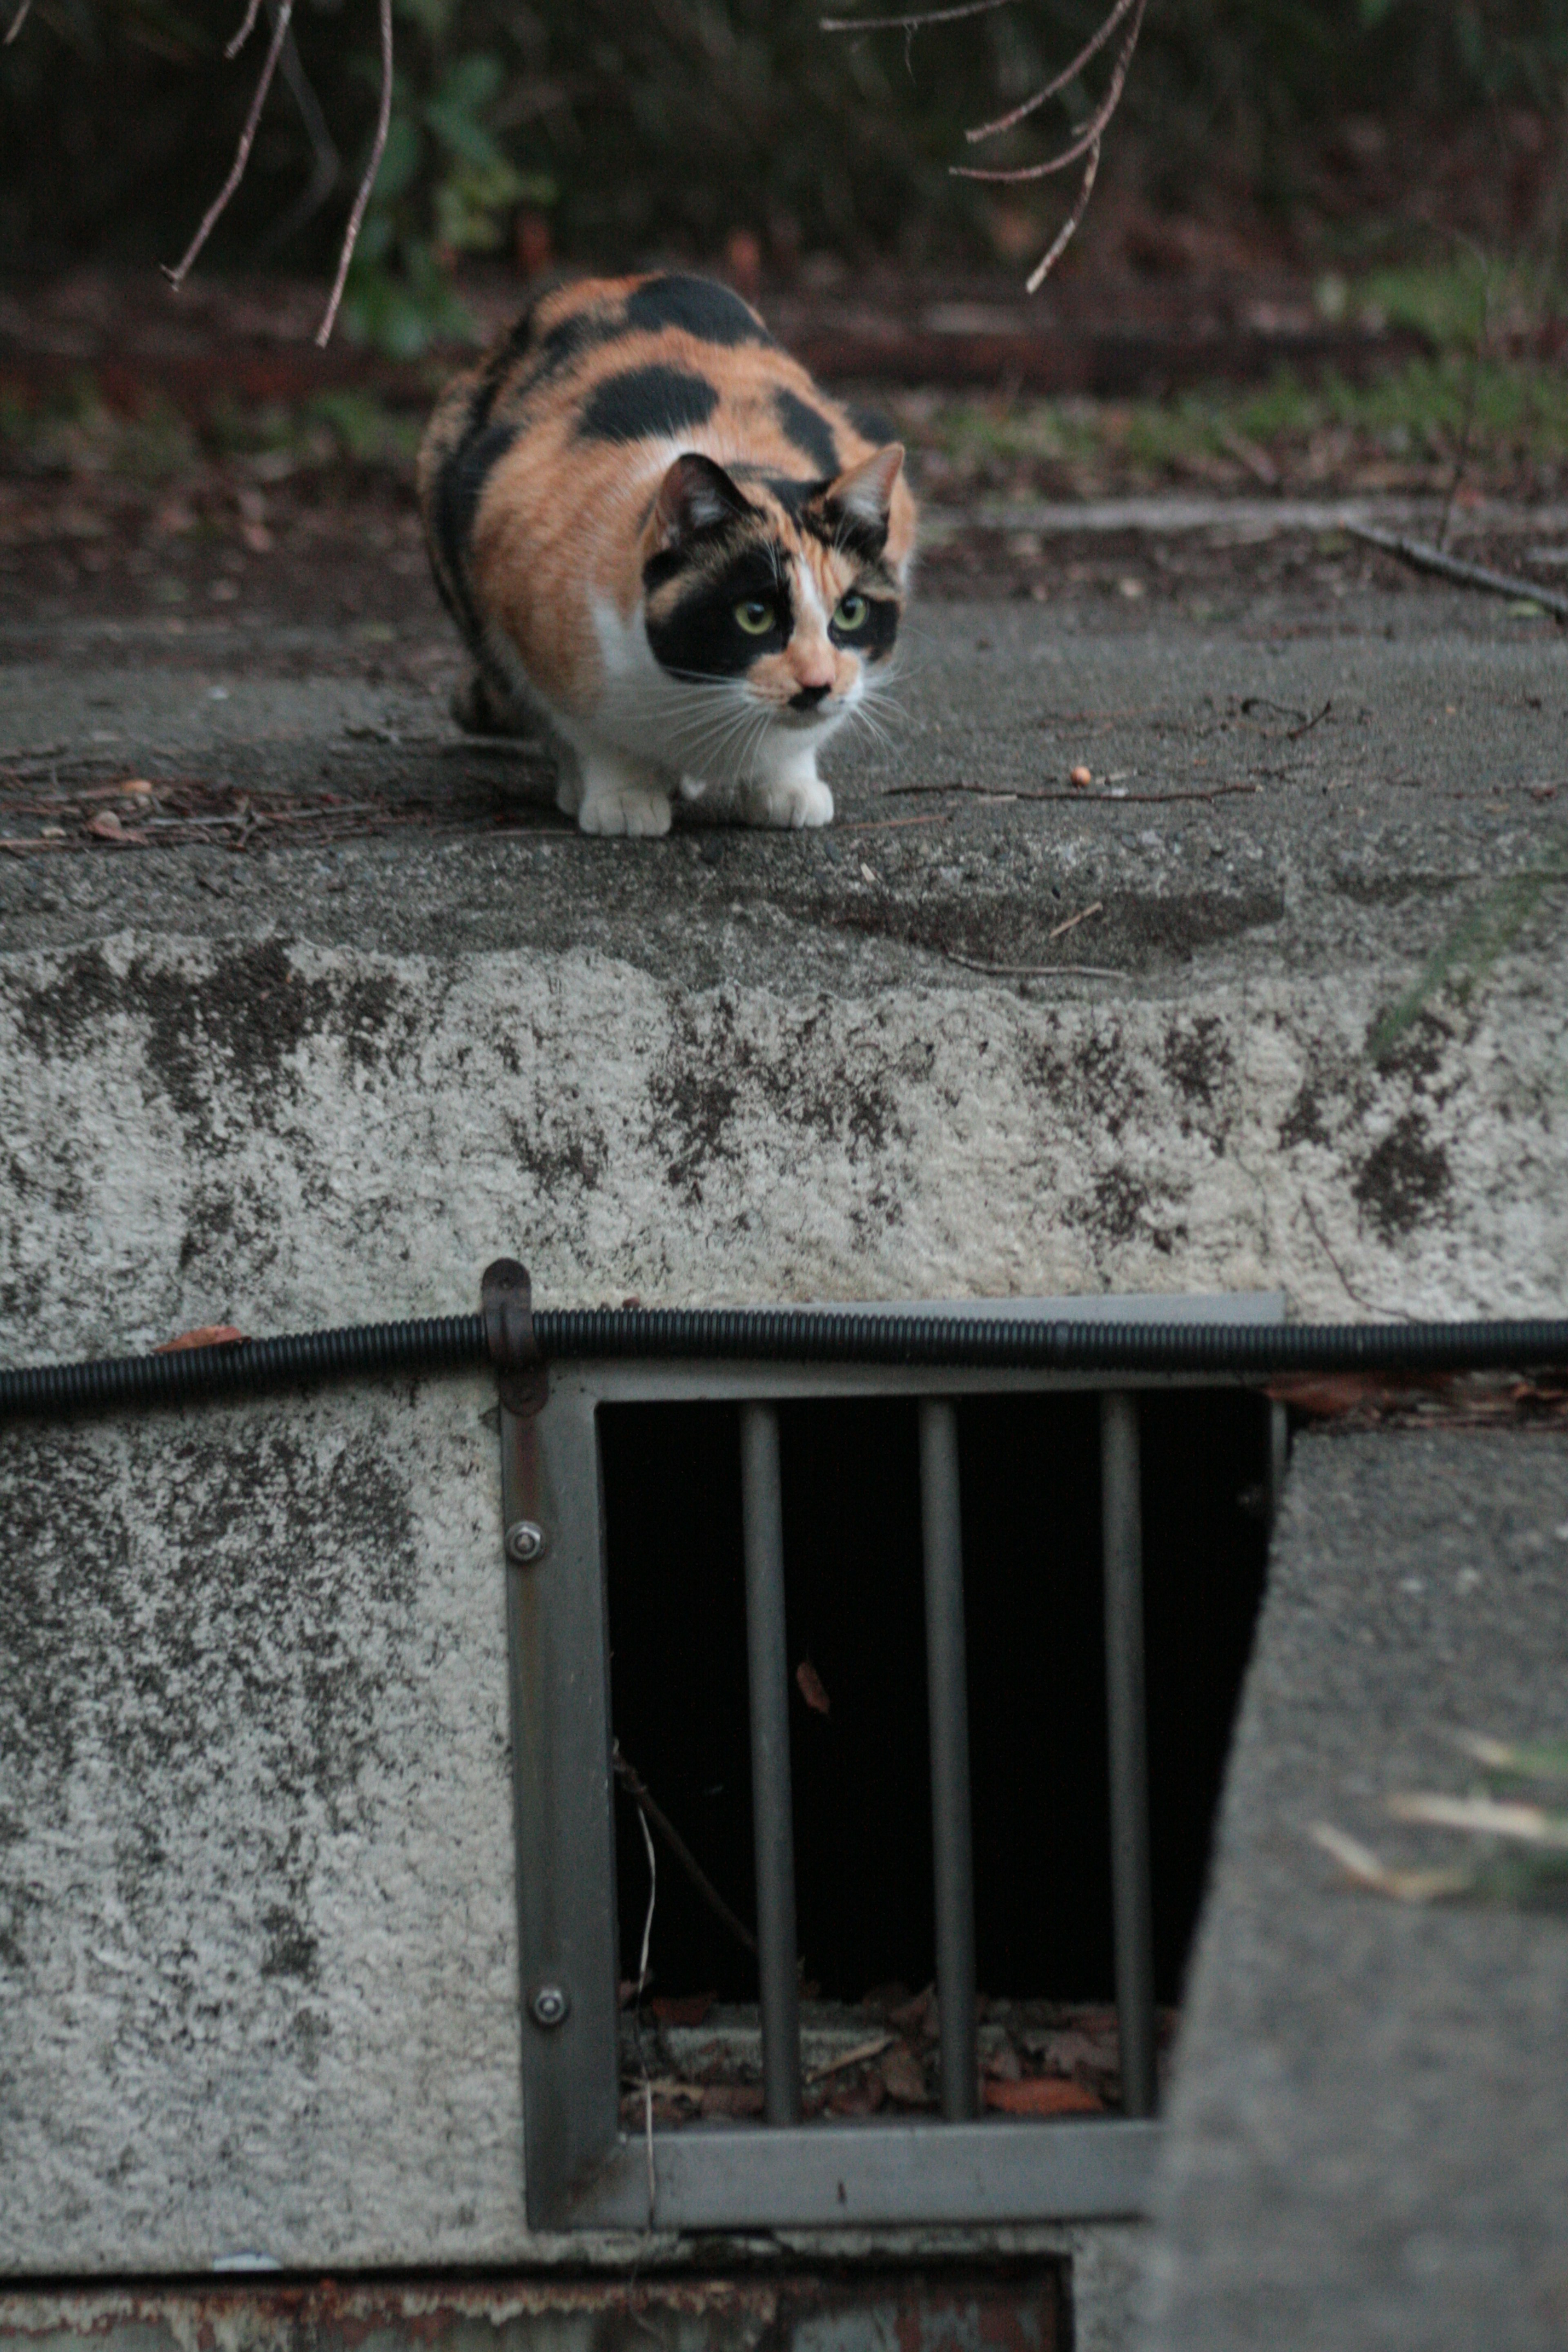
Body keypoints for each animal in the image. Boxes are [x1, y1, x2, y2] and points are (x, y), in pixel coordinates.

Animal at [421, 274, 921, 837]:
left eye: (850, 612)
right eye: (755, 615)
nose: (818, 683)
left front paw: (786, 786)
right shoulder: (522, 588)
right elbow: (584, 730)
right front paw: (623, 798)